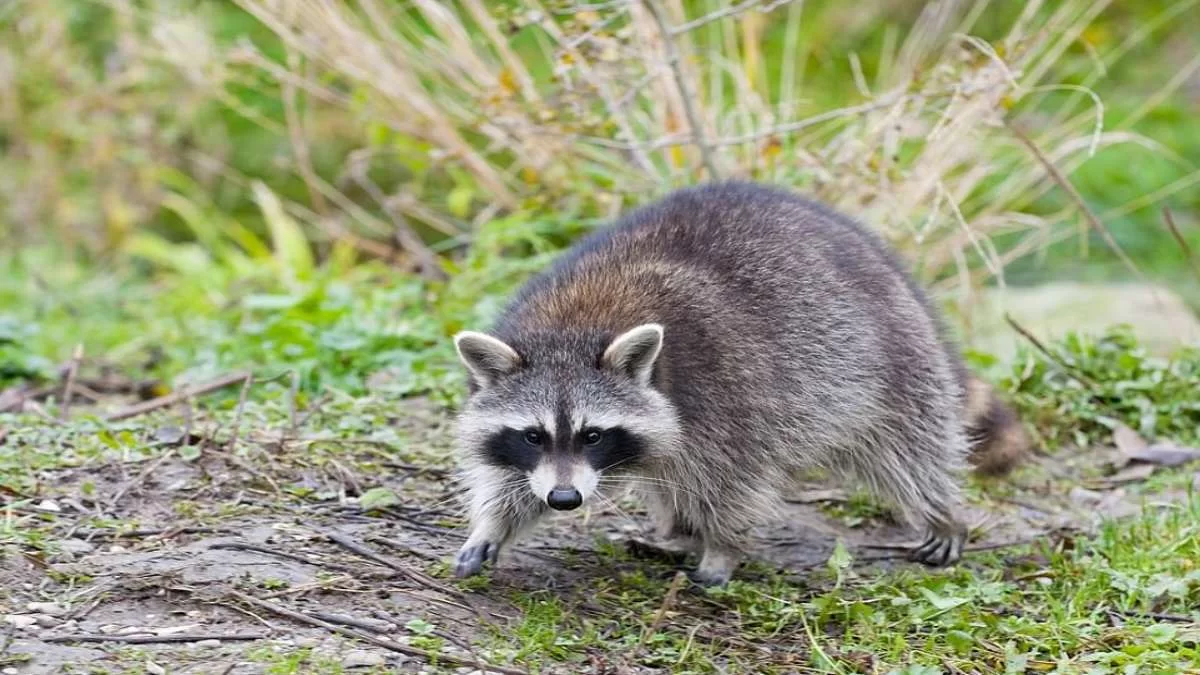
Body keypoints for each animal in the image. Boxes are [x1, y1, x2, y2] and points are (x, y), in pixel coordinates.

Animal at [451, 180, 1032, 583]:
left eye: (593, 435)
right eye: (533, 435)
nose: (566, 499)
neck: (574, 326)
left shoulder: (727, 396)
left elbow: (733, 482)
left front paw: (723, 549)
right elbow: (512, 478)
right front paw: (494, 522)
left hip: (893, 363)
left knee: (908, 449)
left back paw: (939, 511)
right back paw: (678, 529)